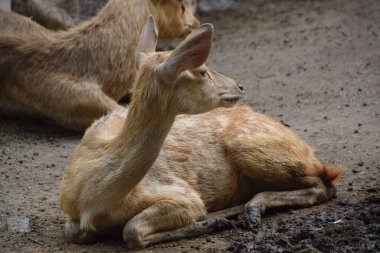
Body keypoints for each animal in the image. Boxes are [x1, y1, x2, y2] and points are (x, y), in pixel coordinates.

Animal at [59, 16, 344, 249]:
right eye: (203, 71)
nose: (239, 86)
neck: (96, 199)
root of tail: (308, 150)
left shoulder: (183, 195)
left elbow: (132, 230)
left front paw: (211, 221)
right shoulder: (70, 211)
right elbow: (78, 232)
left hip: (254, 148)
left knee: (324, 184)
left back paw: (248, 211)